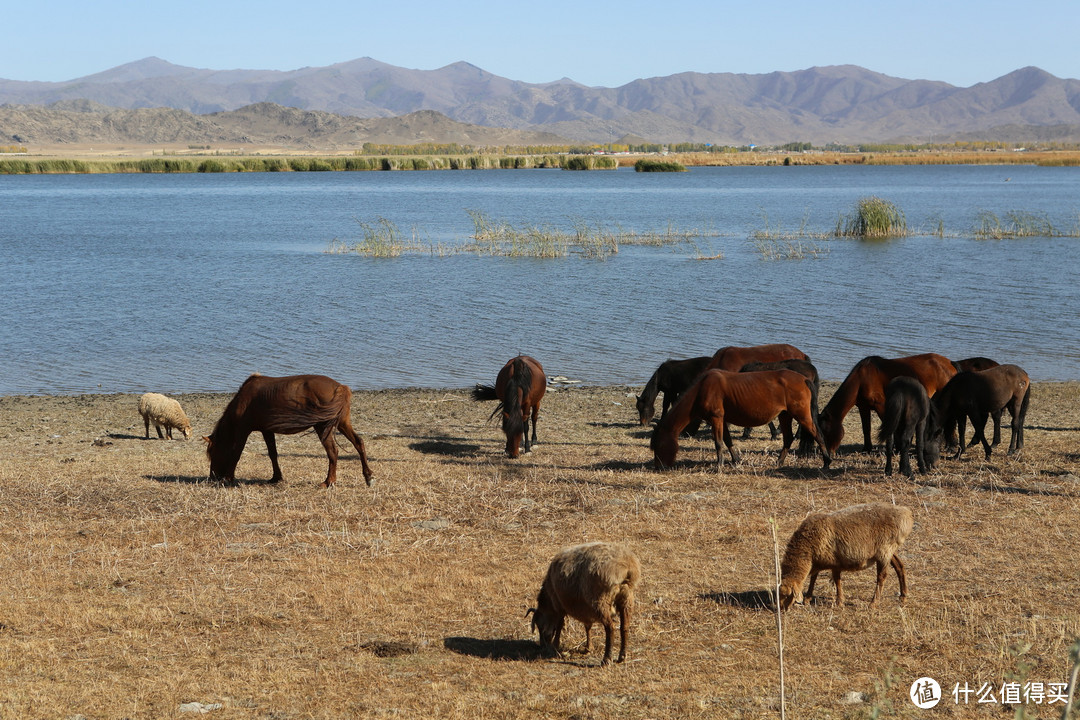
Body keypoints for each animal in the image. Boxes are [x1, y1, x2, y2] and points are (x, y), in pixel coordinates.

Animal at [205, 375, 375, 487]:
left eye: (213, 453)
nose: (213, 477)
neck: (245, 399)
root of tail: (341, 387)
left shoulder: (243, 430)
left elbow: (236, 453)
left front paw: (228, 478)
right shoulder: (267, 430)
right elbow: (272, 454)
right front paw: (276, 477)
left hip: (323, 427)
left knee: (333, 452)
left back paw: (328, 482)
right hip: (342, 423)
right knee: (359, 443)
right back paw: (368, 476)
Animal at [648, 371, 833, 472]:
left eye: (659, 445)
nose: (659, 467)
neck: (702, 389)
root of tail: (804, 379)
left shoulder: (716, 418)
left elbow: (718, 442)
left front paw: (719, 465)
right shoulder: (721, 420)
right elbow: (727, 440)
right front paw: (736, 460)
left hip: (801, 415)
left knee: (817, 434)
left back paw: (826, 461)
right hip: (785, 415)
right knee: (788, 438)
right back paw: (779, 462)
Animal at [777, 505, 911, 613]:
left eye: (787, 595)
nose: (782, 609)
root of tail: (905, 514)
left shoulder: (834, 562)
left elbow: (837, 580)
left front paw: (839, 602)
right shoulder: (819, 561)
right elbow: (814, 578)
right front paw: (808, 598)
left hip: (884, 551)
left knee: (881, 577)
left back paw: (873, 603)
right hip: (889, 551)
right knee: (900, 566)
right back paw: (903, 597)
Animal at [816, 354, 954, 455]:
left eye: (826, 432)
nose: (828, 453)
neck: (862, 380)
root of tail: (950, 364)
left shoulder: (881, 406)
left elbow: (891, 427)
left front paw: (897, 448)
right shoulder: (863, 407)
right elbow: (866, 428)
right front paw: (867, 449)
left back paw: (950, 447)